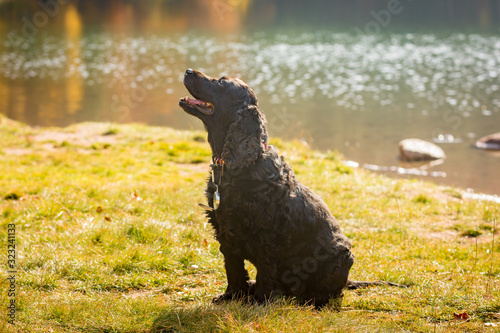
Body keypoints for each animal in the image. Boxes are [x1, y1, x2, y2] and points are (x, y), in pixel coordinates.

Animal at [179, 68, 402, 308]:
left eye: (221, 82)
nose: (188, 70)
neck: (239, 165)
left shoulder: (266, 235)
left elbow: (265, 272)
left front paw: (259, 302)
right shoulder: (224, 231)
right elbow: (233, 269)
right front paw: (232, 296)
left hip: (341, 255)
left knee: (331, 292)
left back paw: (311, 300)